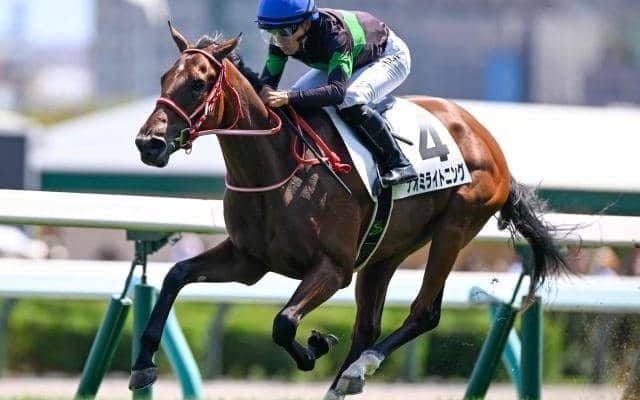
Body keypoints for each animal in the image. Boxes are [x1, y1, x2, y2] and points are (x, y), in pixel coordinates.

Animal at [130, 24, 569, 399]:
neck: (278, 168)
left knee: (423, 313)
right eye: (164, 79)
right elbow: (176, 275)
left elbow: (284, 322)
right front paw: (142, 365)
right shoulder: (248, 260)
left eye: (198, 83)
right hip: (385, 250)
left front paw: (315, 346)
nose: (148, 143)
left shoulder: (333, 268)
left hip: (455, 228)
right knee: (368, 326)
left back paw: (359, 368)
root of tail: (489, 143)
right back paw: (343, 380)